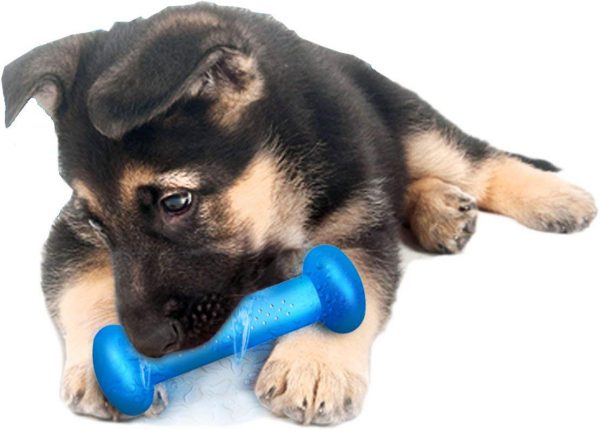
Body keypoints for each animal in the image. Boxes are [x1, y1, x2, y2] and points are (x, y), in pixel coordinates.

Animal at [2, 2, 596, 425]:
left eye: (176, 203)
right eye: (96, 221)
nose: (144, 343)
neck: (278, 191)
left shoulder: (358, 218)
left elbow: (346, 286)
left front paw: (314, 363)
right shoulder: (69, 236)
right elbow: (84, 288)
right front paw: (104, 366)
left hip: (411, 122)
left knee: (479, 160)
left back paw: (555, 197)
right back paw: (439, 209)